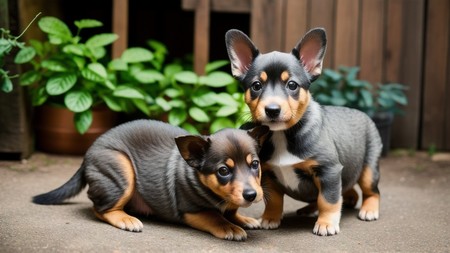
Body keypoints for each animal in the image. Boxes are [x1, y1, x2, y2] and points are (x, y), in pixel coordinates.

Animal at [34, 119, 270, 240]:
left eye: (255, 164)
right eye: (223, 171)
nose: (251, 195)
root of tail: (86, 157)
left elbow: (231, 211)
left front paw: (243, 219)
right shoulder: (192, 210)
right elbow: (215, 217)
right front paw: (230, 227)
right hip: (122, 170)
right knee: (100, 208)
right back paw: (126, 219)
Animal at [225, 28, 384, 236]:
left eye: (292, 85)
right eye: (256, 86)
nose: (272, 110)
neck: (282, 134)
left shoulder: (329, 171)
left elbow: (329, 200)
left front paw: (326, 223)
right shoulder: (268, 174)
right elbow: (274, 200)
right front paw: (270, 218)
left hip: (369, 169)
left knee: (371, 191)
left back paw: (369, 209)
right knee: (346, 190)